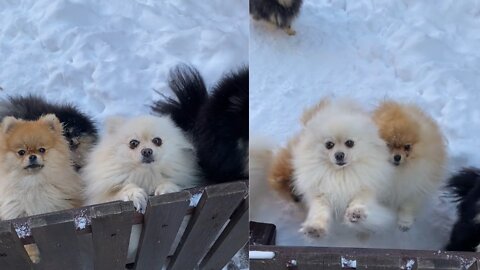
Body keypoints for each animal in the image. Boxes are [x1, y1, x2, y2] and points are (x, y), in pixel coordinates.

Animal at [290, 99, 396, 238]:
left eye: (349, 143)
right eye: (329, 145)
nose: (339, 155)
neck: (341, 174)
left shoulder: (365, 187)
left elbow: (360, 200)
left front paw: (356, 213)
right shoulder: (321, 193)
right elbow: (319, 211)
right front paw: (315, 228)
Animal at [376, 102, 446, 231]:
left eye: (407, 147)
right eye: (388, 145)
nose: (397, 157)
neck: (398, 173)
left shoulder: (414, 187)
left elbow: (407, 207)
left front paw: (405, 222)